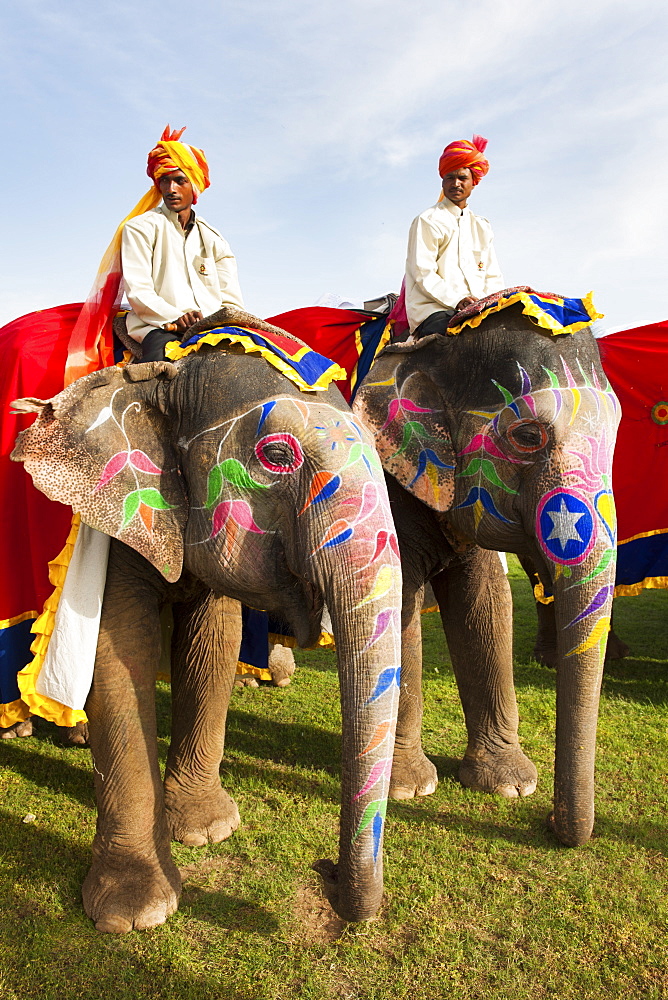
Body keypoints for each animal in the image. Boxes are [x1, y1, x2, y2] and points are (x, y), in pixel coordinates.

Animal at [11, 346, 402, 928]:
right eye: (277, 456)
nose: (324, 869)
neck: (166, 374)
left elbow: (215, 638)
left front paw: (205, 829)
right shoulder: (116, 513)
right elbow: (117, 648)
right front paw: (135, 913)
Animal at [354, 300, 620, 848]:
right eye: (528, 436)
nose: (551, 823)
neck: (438, 340)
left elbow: (486, 601)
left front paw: (510, 785)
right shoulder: (390, 484)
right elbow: (402, 604)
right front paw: (410, 787)